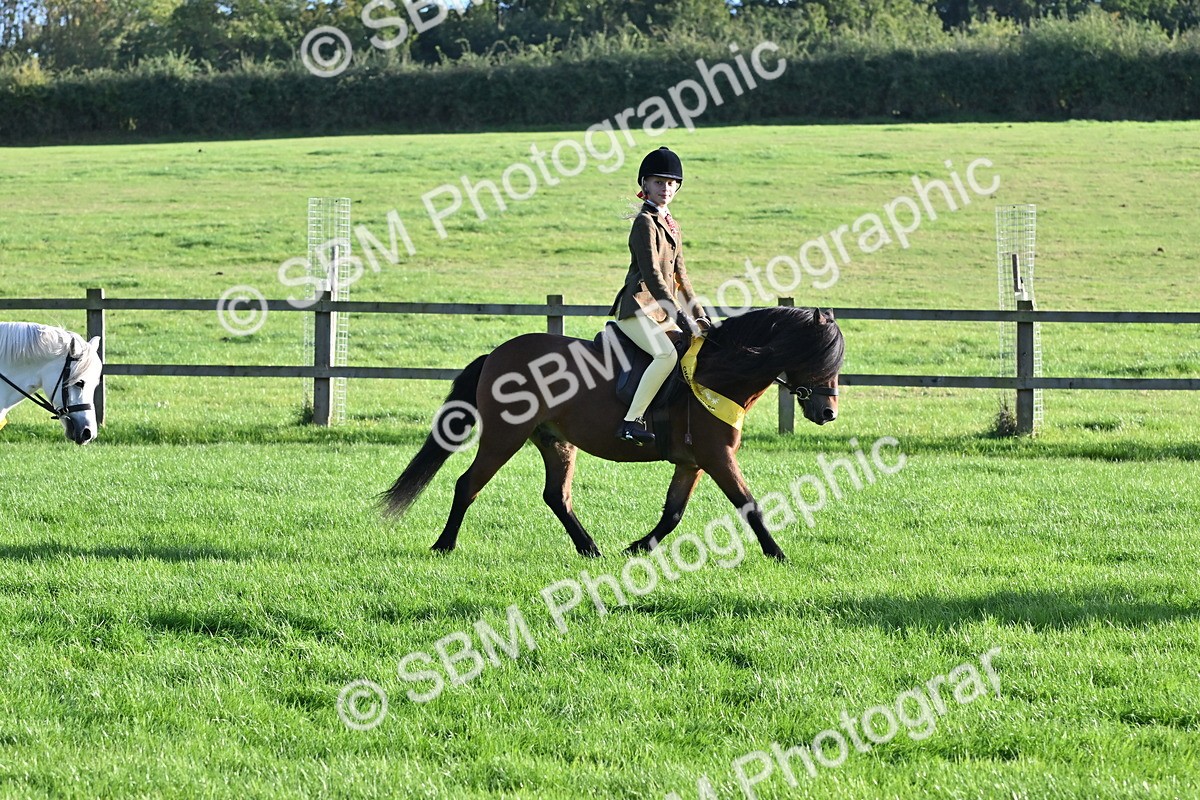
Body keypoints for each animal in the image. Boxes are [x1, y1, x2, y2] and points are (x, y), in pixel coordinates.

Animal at [382, 306, 844, 561]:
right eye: (818, 357)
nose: (827, 413)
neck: (719, 371)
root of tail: (496, 354)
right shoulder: (717, 458)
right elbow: (749, 505)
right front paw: (778, 553)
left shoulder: (692, 463)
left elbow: (672, 514)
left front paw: (638, 547)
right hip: (504, 437)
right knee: (468, 484)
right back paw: (444, 545)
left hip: (555, 440)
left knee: (557, 496)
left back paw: (590, 548)